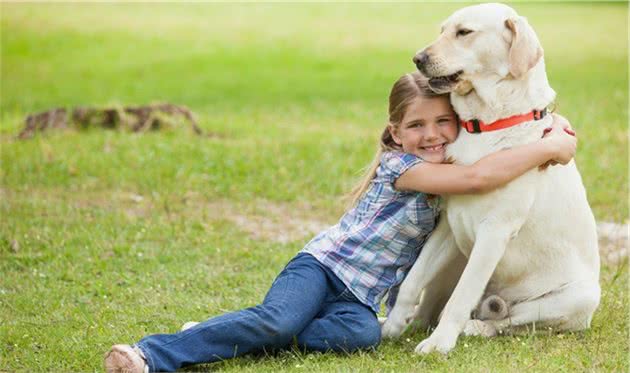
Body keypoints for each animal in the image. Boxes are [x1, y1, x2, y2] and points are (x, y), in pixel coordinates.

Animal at [380, 2, 604, 354]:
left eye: (464, 32)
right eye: (442, 30)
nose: (418, 58)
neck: (487, 125)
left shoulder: (495, 231)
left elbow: (460, 298)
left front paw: (440, 343)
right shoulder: (449, 225)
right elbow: (413, 280)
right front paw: (392, 325)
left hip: (578, 297)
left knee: (509, 323)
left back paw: (475, 327)